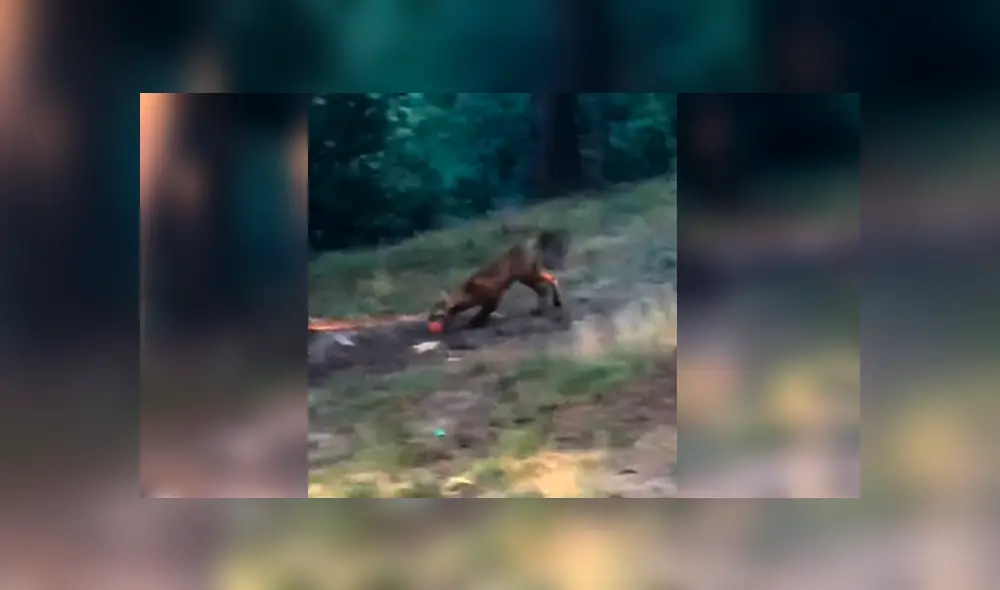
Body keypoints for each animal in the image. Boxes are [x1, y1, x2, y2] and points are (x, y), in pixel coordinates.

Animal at [426, 229, 569, 333]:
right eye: (430, 312)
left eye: (436, 315)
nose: (428, 321)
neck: (467, 292)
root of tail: (528, 242)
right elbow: (484, 311)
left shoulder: (493, 295)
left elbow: (485, 311)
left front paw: (474, 323)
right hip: (533, 273)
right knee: (552, 278)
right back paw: (556, 301)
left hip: (527, 276)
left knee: (543, 288)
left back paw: (541, 309)